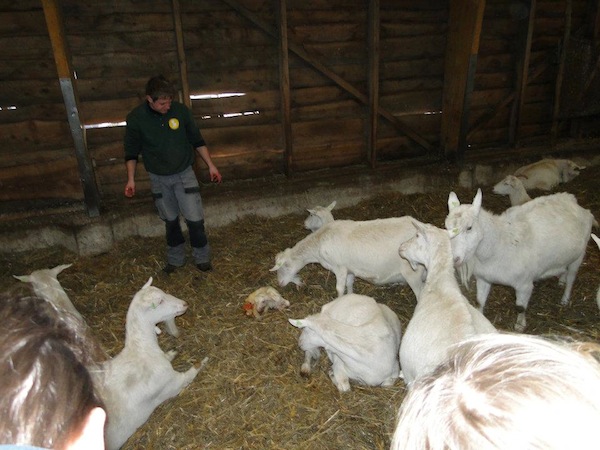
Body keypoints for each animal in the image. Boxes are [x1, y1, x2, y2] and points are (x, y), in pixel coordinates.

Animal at [97, 278, 207, 450]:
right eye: (160, 301)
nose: (184, 304)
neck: (141, 351)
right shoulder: (173, 383)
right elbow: (192, 371)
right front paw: (203, 360)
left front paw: (173, 352)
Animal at [270, 217, 424, 298]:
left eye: (284, 267)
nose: (280, 284)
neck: (318, 244)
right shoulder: (350, 269)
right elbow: (349, 285)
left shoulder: (340, 268)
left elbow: (339, 289)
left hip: (413, 273)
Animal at [442, 188, 592, 332]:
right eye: (447, 227)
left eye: (469, 227)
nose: (454, 258)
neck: (499, 244)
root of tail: (573, 201)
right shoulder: (484, 278)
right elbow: (480, 301)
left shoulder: (524, 284)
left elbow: (520, 307)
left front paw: (520, 326)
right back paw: (561, 280)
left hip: (580, 255)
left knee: (572, 277)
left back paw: (565, 299)